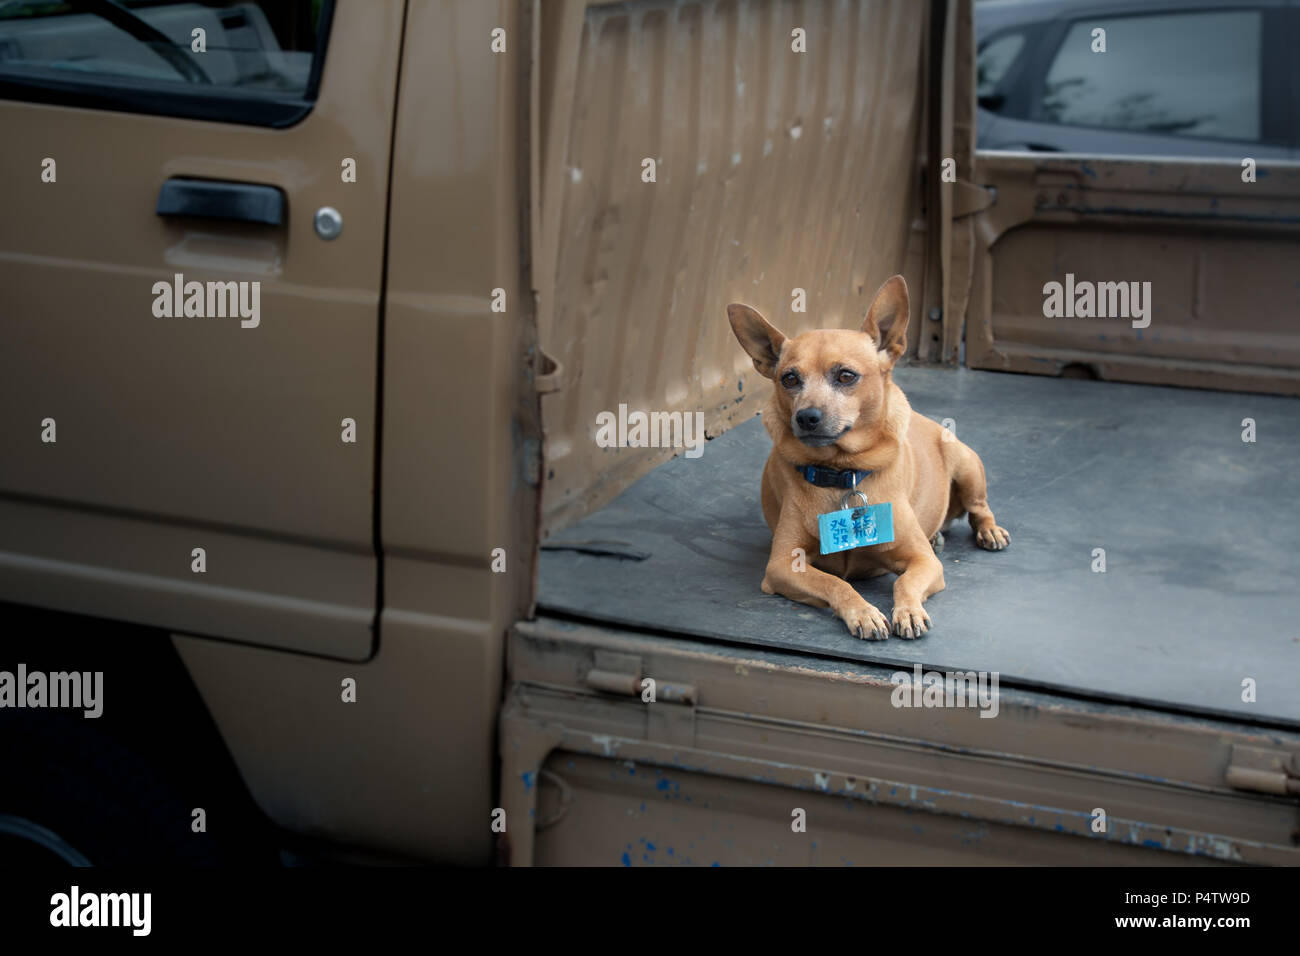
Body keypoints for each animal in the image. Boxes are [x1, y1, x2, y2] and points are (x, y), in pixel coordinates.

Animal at [728, 277, 1008, 642]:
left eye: (846, 376)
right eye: (789, 378)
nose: (806, 417)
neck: (842, 472)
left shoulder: (925, 563)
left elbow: (905, 583)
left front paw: (909, 610)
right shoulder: (783, 565)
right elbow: (835, 583)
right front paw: (863, 612)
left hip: (965, 462)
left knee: (978, 508)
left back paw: (988, 531)